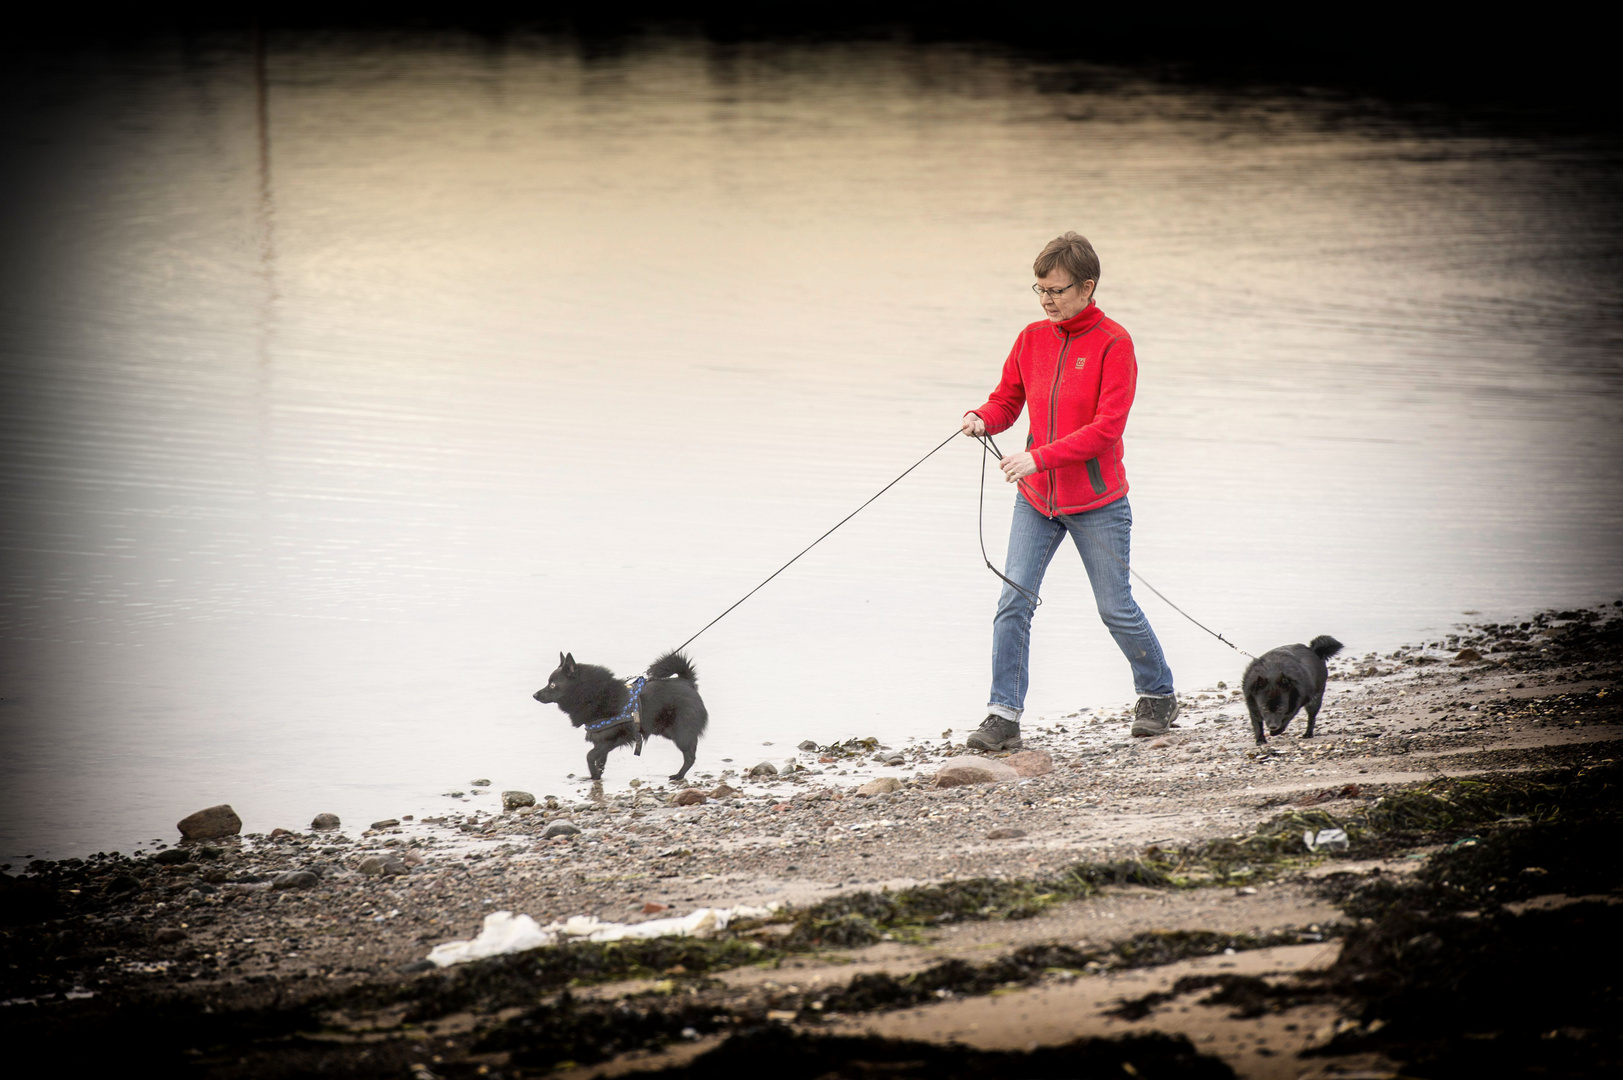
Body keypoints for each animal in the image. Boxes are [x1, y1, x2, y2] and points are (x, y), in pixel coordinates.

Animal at [535, 649, 707, 776]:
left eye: (552, 684)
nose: (534, 695)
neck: (593, 695)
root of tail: (687, 682)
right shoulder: (600, 741)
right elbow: (600, 761)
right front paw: (597, 777)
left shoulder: (611, 739)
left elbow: (590, 756)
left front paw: (593, 774)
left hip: (681, 733)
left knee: (690, 757)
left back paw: (678, 776)